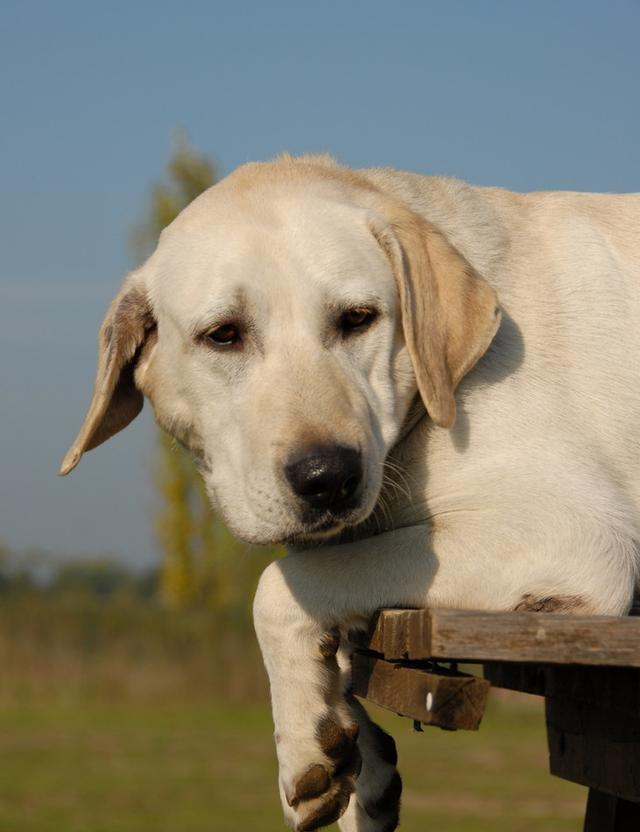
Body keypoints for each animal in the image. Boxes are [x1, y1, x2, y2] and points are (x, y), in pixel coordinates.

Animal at [61, 156, 640, 832]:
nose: (328, 477)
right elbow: (331, 613)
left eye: (358, 319)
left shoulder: (573, 532)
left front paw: (302, 744)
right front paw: (351, 747)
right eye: (223, 335)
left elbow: (279, 587)